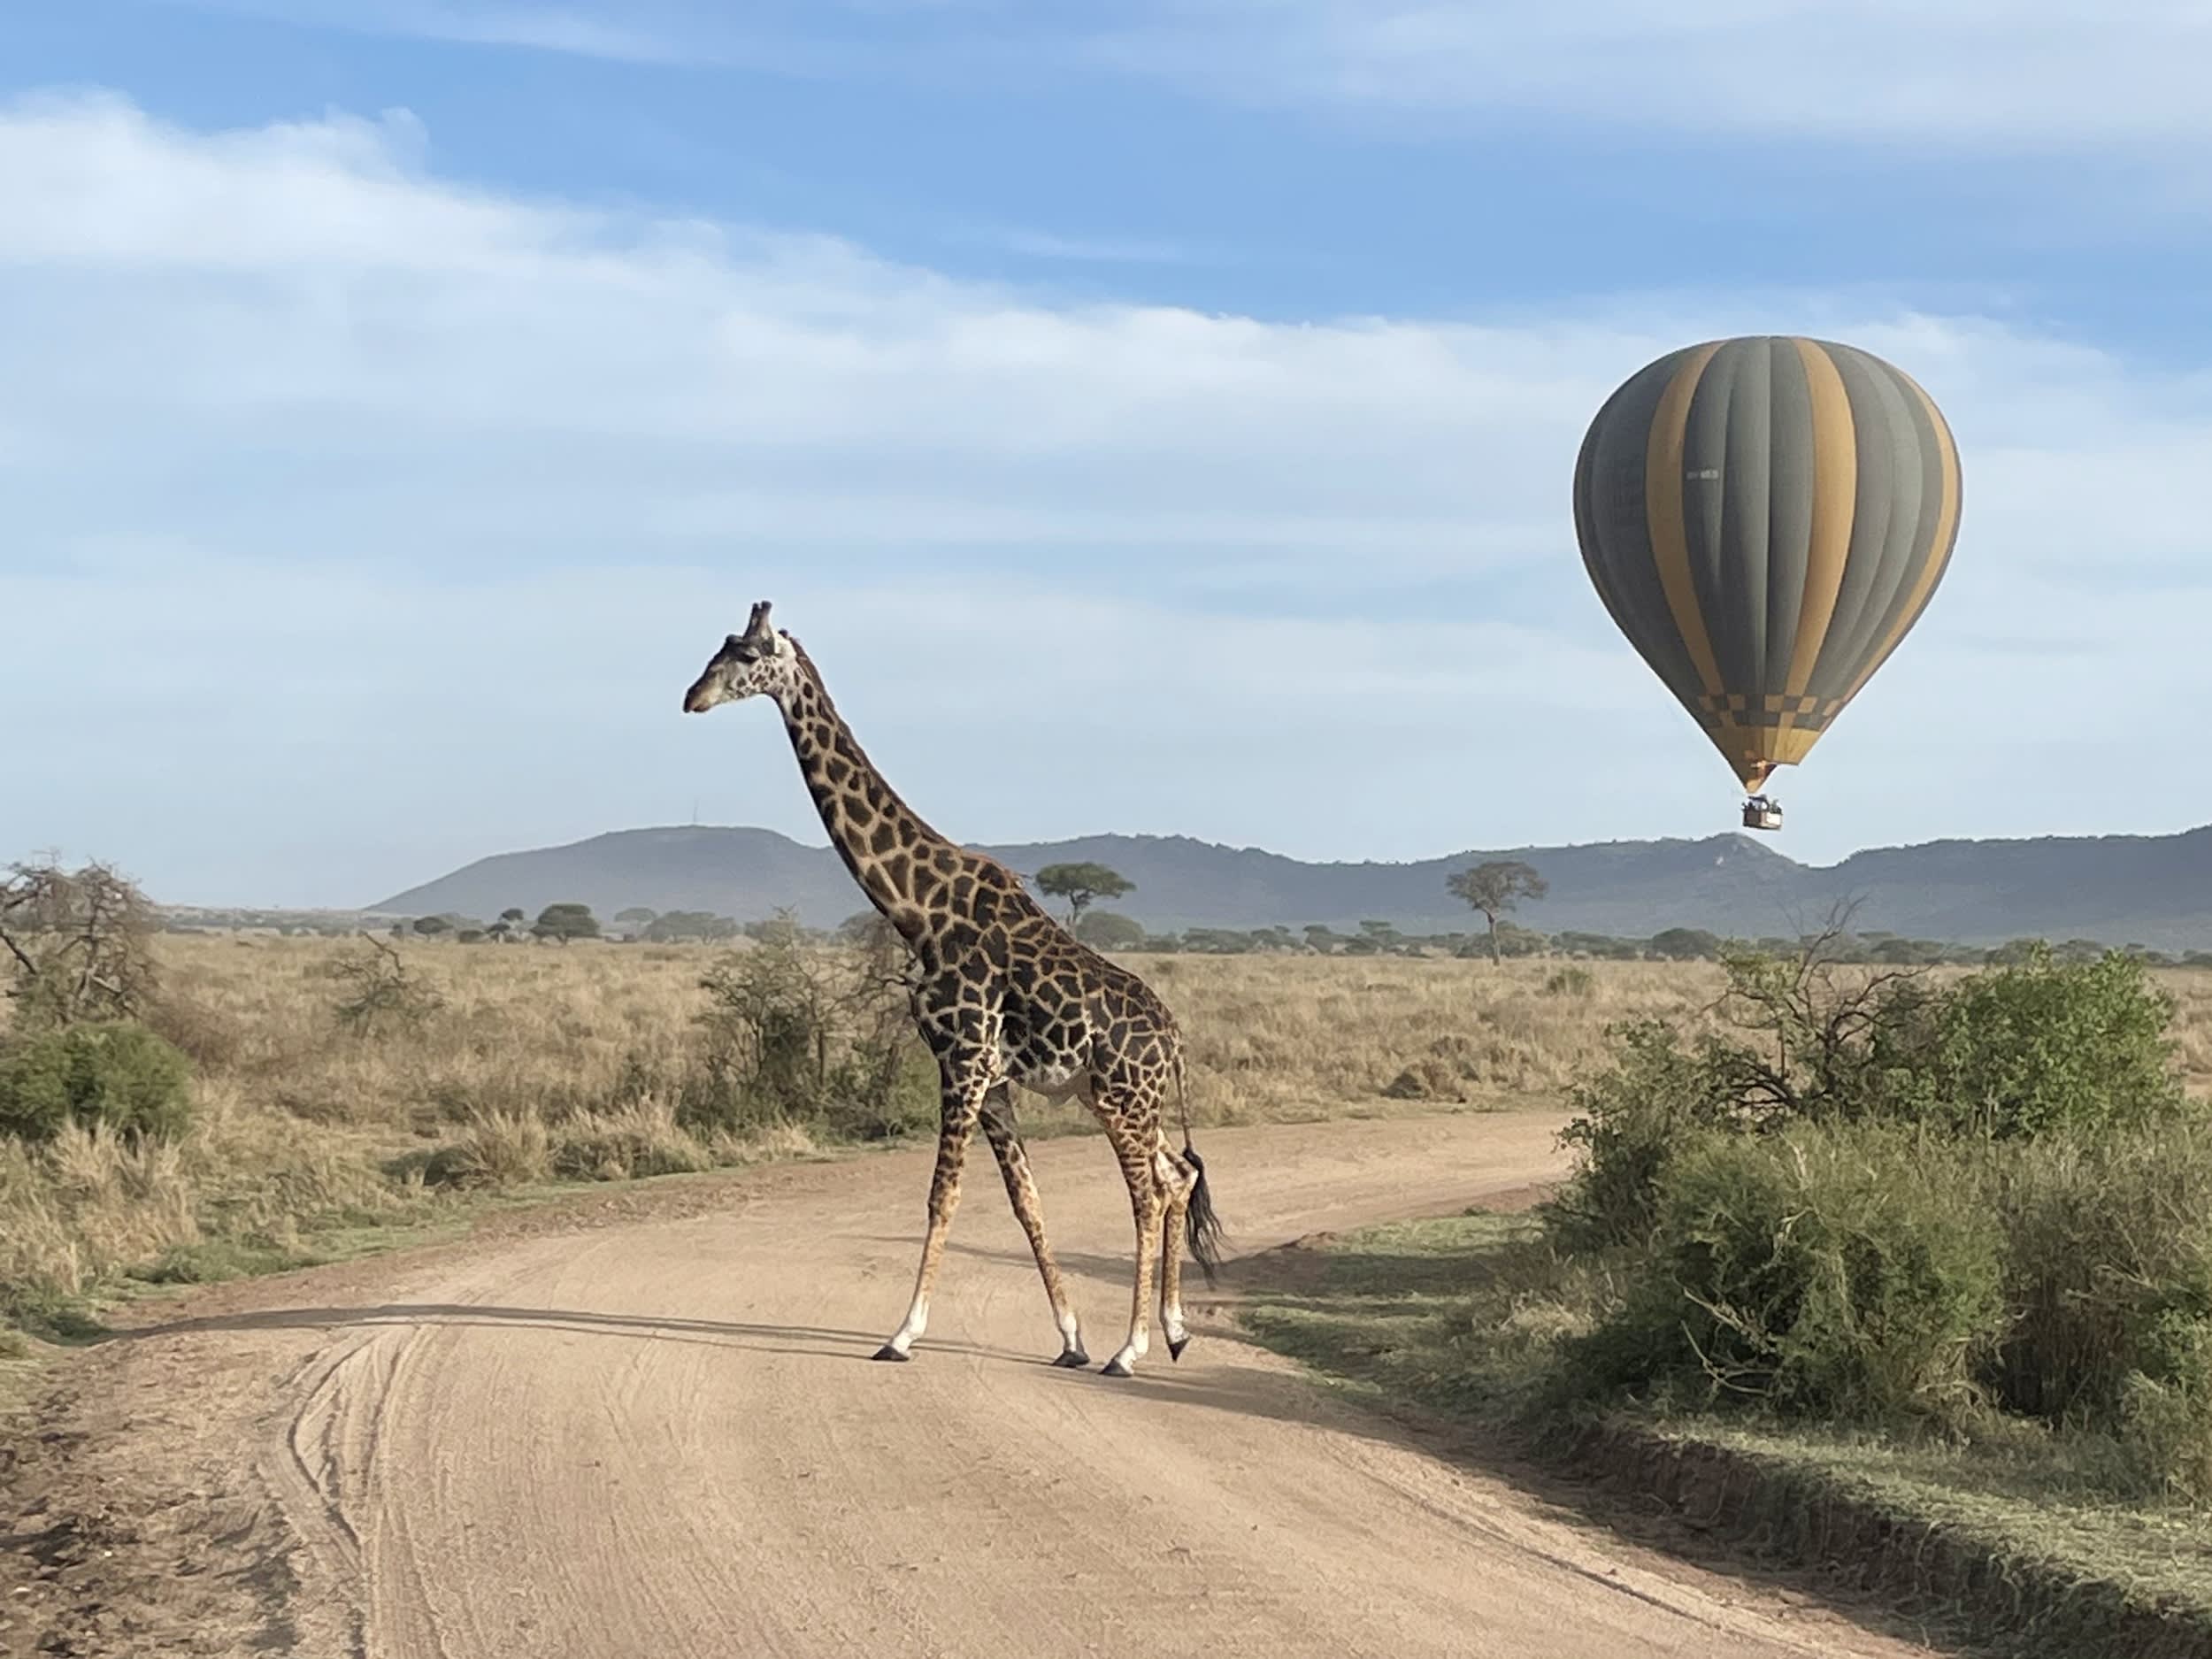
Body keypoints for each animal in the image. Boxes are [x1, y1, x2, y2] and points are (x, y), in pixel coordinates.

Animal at [681, 606, 1230, 1380]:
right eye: (719, 648)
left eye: (749, 655)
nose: (691, 698)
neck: (919, 910)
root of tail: (1175, 1039)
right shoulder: (988, 1075)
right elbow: (1026, 1200)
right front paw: (1070, 1336)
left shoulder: (963, 1060)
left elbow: (943, 1196)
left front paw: (902, 1333)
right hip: (1117, 1098)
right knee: (1177, 1175)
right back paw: (1174, 1330)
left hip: (1125, 1099)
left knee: (1149, 1195)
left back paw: (1131, 1349)